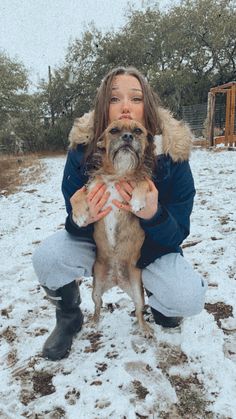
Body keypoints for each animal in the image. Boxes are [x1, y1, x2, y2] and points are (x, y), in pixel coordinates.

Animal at [73, 119, 156, 338]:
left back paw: (144, 329)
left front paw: (137, 201)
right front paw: (79, 215)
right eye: (114, 130)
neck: (119, 173)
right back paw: (94, 323)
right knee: (98, 305)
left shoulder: (145, 183)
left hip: (138, 292)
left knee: (139, 311)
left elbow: (142, 183)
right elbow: (77, 196)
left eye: (138, 130)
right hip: (96, 289)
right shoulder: (90, 188)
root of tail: (117, 279)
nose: (127, 136)